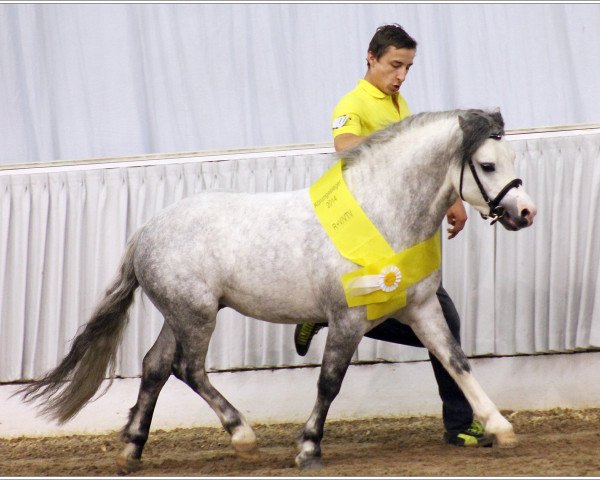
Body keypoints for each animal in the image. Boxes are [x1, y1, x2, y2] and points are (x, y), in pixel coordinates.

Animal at [18, 109, 536, 472]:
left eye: (512, 160)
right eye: (487, 164)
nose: (525, 213)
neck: (382, 215)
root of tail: (146, 230)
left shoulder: (422, 308)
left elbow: (456, 361)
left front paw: (500, 428)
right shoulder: (348, 318)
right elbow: (329, 381)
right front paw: (308, 449)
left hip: (179, 314)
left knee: (155, 367)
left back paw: (132, 449)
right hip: (197, 314)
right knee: (189, 368)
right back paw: (242, 436)